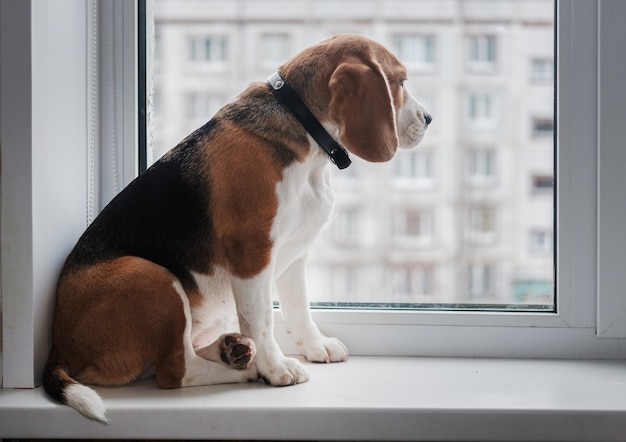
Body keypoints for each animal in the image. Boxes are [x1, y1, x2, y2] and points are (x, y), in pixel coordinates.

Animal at [42, 33, 428, 422]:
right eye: (400, 82)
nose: (429, 118)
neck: (304, 132)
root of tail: (59, 348)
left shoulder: (296, 254)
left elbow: (298, 307)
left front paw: (315, 345)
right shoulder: (252, 253)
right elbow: (261, 318)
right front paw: (276, 368)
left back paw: (232, 350)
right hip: (150, 277)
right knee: (175, 370)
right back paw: (246, 368)